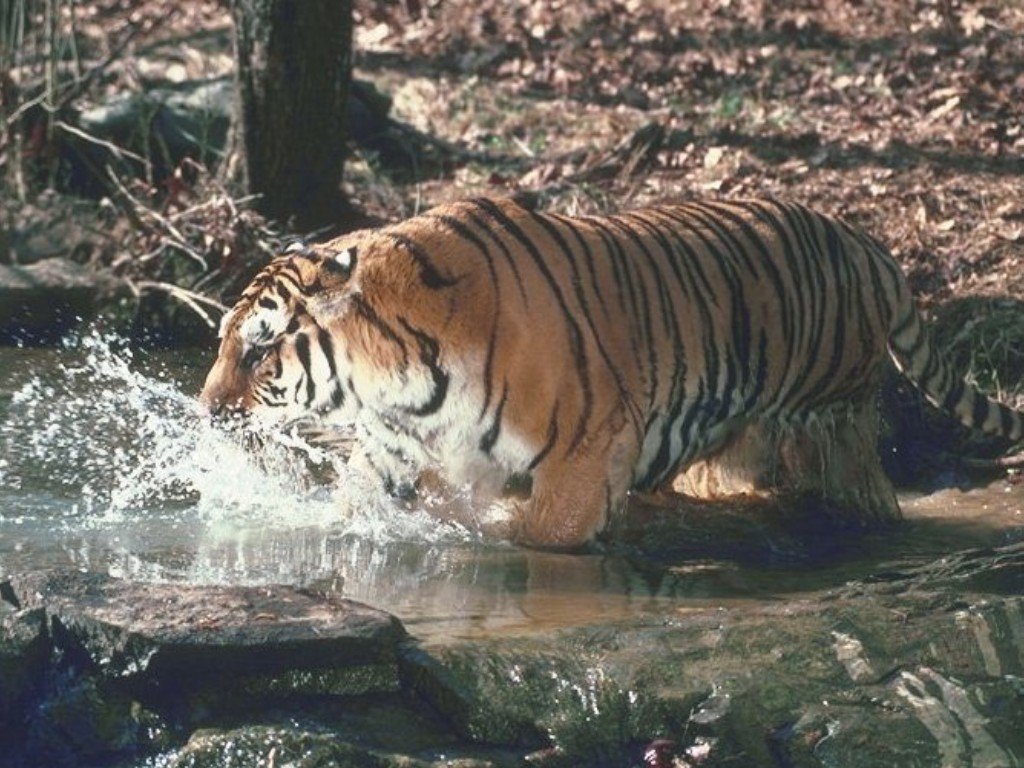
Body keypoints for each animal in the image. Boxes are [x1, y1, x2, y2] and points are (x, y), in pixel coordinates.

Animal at [199, 195, 1024, 548]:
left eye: (258, 350)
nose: (205, 411)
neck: (404, 381)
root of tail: (866, 241)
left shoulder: (586, 447)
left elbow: (547, 535)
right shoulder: (394, 449)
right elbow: (357, 507)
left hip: (835, 422)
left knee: (862, 489)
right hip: (737, 445)